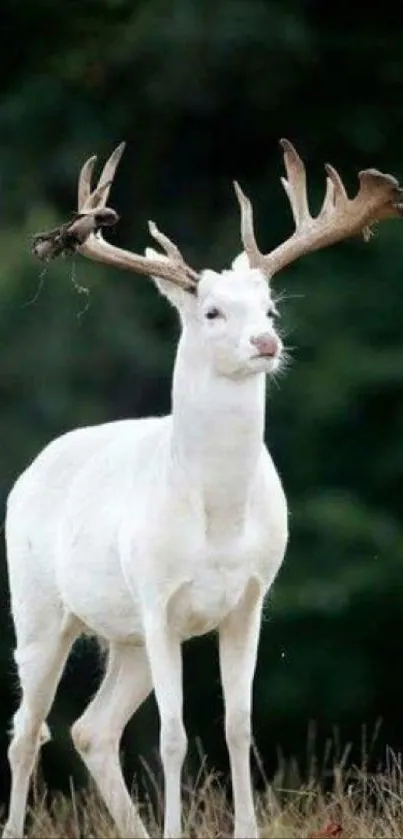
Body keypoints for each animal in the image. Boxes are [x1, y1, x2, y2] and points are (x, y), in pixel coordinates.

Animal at [3, 139, 403, 839]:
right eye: (212, 312)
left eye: (270, 309)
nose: (266, 342)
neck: (217, 520)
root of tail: (32, 468)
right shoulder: (158, 599)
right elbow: (172, 736)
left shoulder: (250, 597)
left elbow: (237, 725)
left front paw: (247, 830)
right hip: (39, 608)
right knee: (28, 732)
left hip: (125, 636)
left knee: (91, 730)